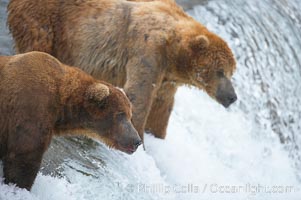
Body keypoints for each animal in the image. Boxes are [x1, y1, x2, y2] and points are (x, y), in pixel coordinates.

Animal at [6, 0, 237, 142]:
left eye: (231, 72)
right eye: (220, 71)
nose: (232, 96)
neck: (174, 50)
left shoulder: (168, 78)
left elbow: (161, 107)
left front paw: (156, 135)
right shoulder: (148, 50)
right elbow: (140, 95)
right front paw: (141, 137)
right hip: (46, 19)